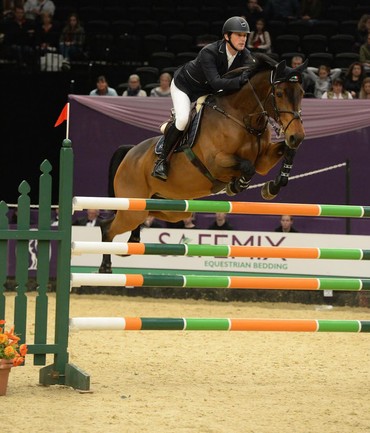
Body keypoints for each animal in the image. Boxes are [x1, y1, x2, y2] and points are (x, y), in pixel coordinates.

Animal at [98, 52, 306, 272]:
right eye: (280, 93)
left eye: (301, 93)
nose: (298, 136)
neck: (242, 118)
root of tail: (130, 153)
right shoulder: (217, 162)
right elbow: (247, 167)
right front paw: (236, 185)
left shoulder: (263, 161)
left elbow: (285, 152)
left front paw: (272, 187)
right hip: (134, 207)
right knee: (108, 227)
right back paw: (105, 267)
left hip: (167, 209)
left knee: (130, 219)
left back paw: (129, 244)